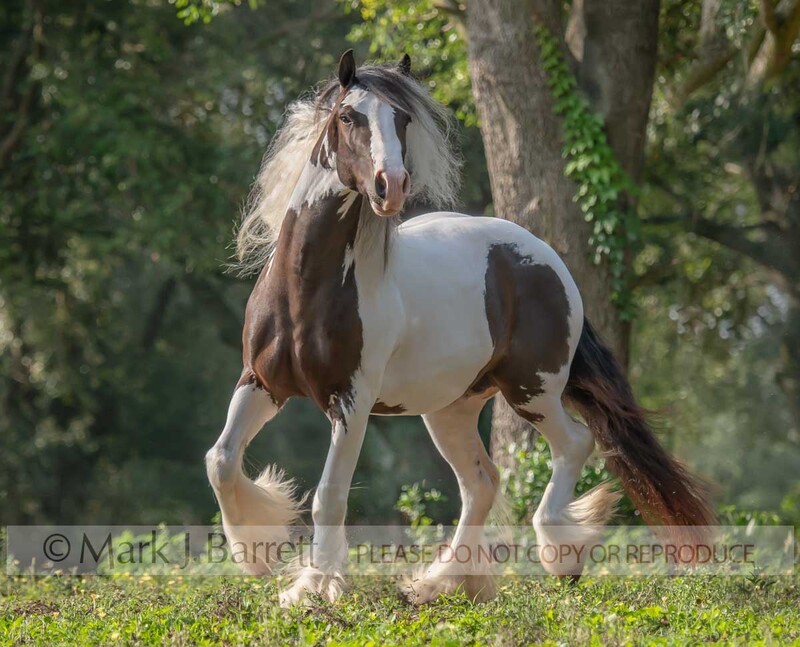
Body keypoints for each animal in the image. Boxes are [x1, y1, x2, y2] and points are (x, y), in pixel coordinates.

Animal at [205, 50, 715, 606]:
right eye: (348, 117)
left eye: (403, 118)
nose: (390, 186)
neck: (306, 291)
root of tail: (549, 263)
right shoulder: (261, 382)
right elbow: (221, 459)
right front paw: (257, 555)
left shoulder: (351, 402)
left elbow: (328, 496)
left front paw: (315, 587)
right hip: (452, 408)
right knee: (481, 482)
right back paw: (442, 582)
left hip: (532, 390)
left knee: (574, 445)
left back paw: (560, 555)